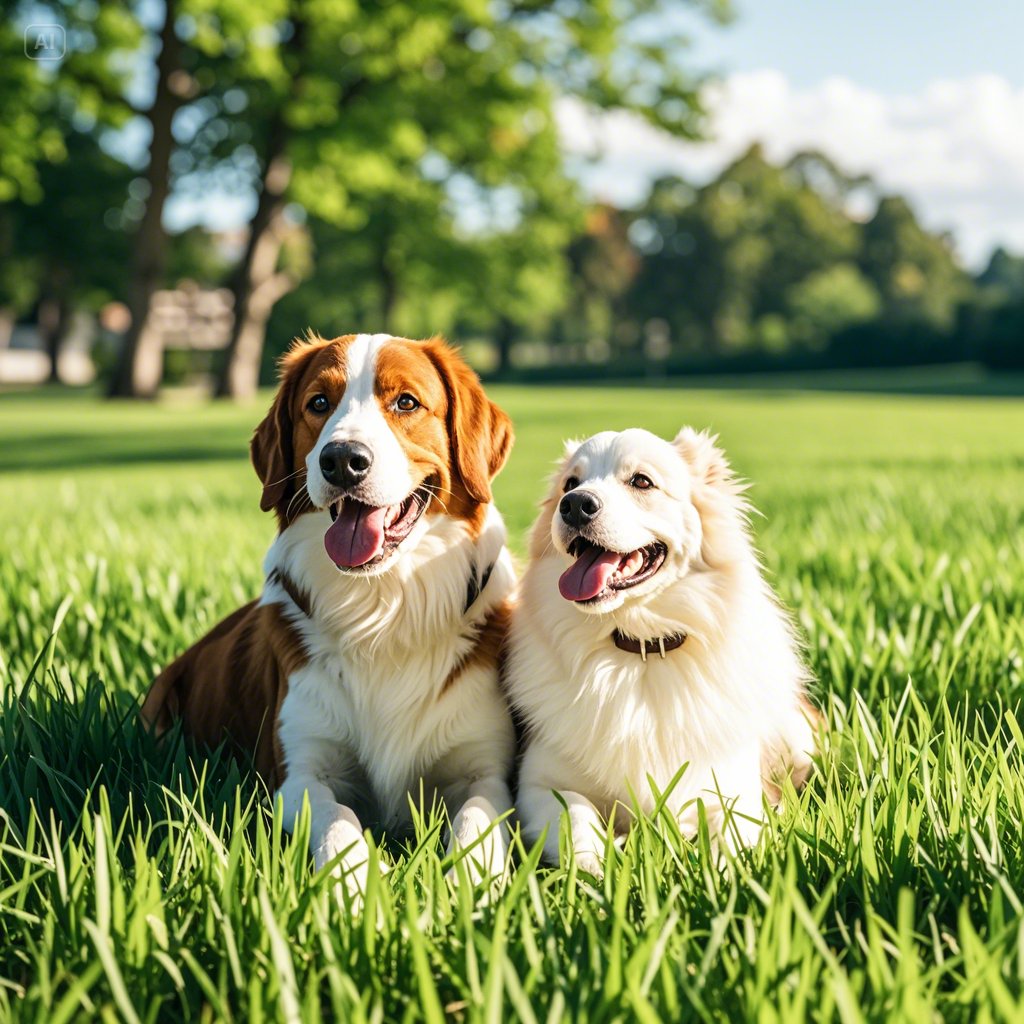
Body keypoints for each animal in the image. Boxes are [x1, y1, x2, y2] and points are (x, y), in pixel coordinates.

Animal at [140, 331, 516, 892]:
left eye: (406, 402)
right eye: (318, 403)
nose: (342, 459)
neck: (383, 607)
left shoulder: (484, 770)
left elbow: (478, 823)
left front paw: (471, 886)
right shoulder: (299, 771)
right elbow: (338, 820)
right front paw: (354, 886)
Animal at [507, 423, 819, 872]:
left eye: (641, 481)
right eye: (570, 483)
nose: (574, 505)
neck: (639, 649)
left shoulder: (734, 791)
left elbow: (732, 840)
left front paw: (719, 873)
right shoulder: (540, 785)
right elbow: (576, 821)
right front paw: (598, 870)